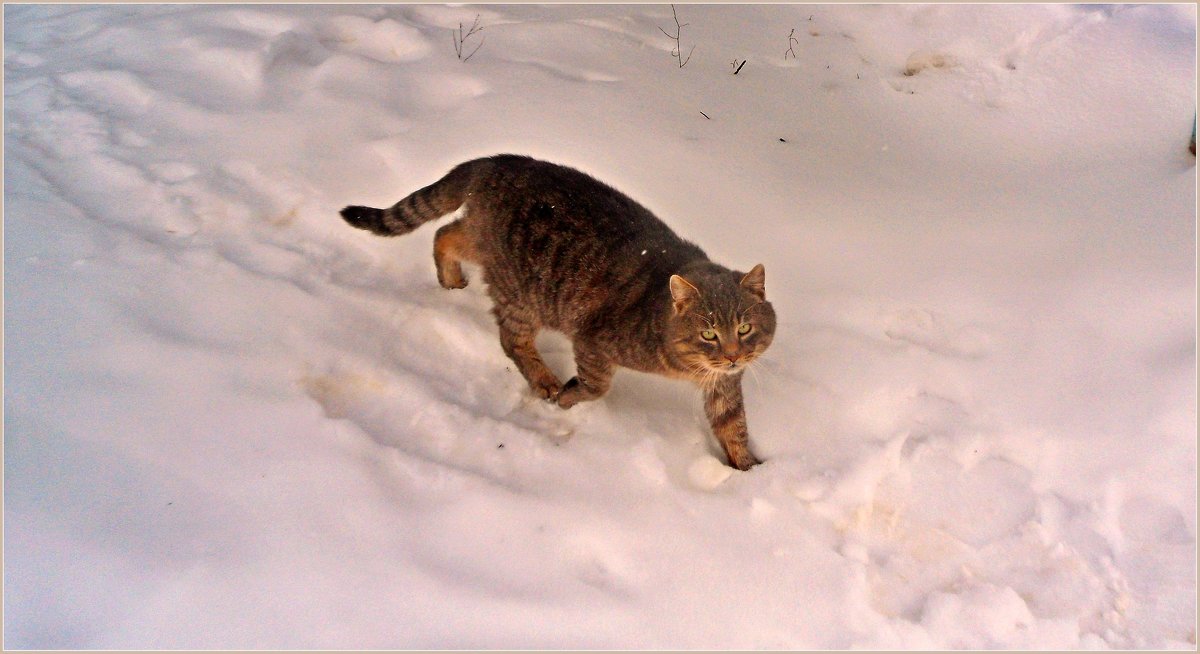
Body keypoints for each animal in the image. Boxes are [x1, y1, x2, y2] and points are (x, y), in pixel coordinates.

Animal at [338, 153, 772, 470]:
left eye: (745, 329)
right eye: (709, 334)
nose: (734, 356)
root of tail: (494, 160)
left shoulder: (724, 387)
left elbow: (734, 428)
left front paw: (748, 471)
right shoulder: (593, 340)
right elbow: (596, 385)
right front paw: (566, 396)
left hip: (483, 245)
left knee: (445, 233)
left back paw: (451, 278)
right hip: (521, 294)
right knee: (510, 338)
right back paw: (544, 379)